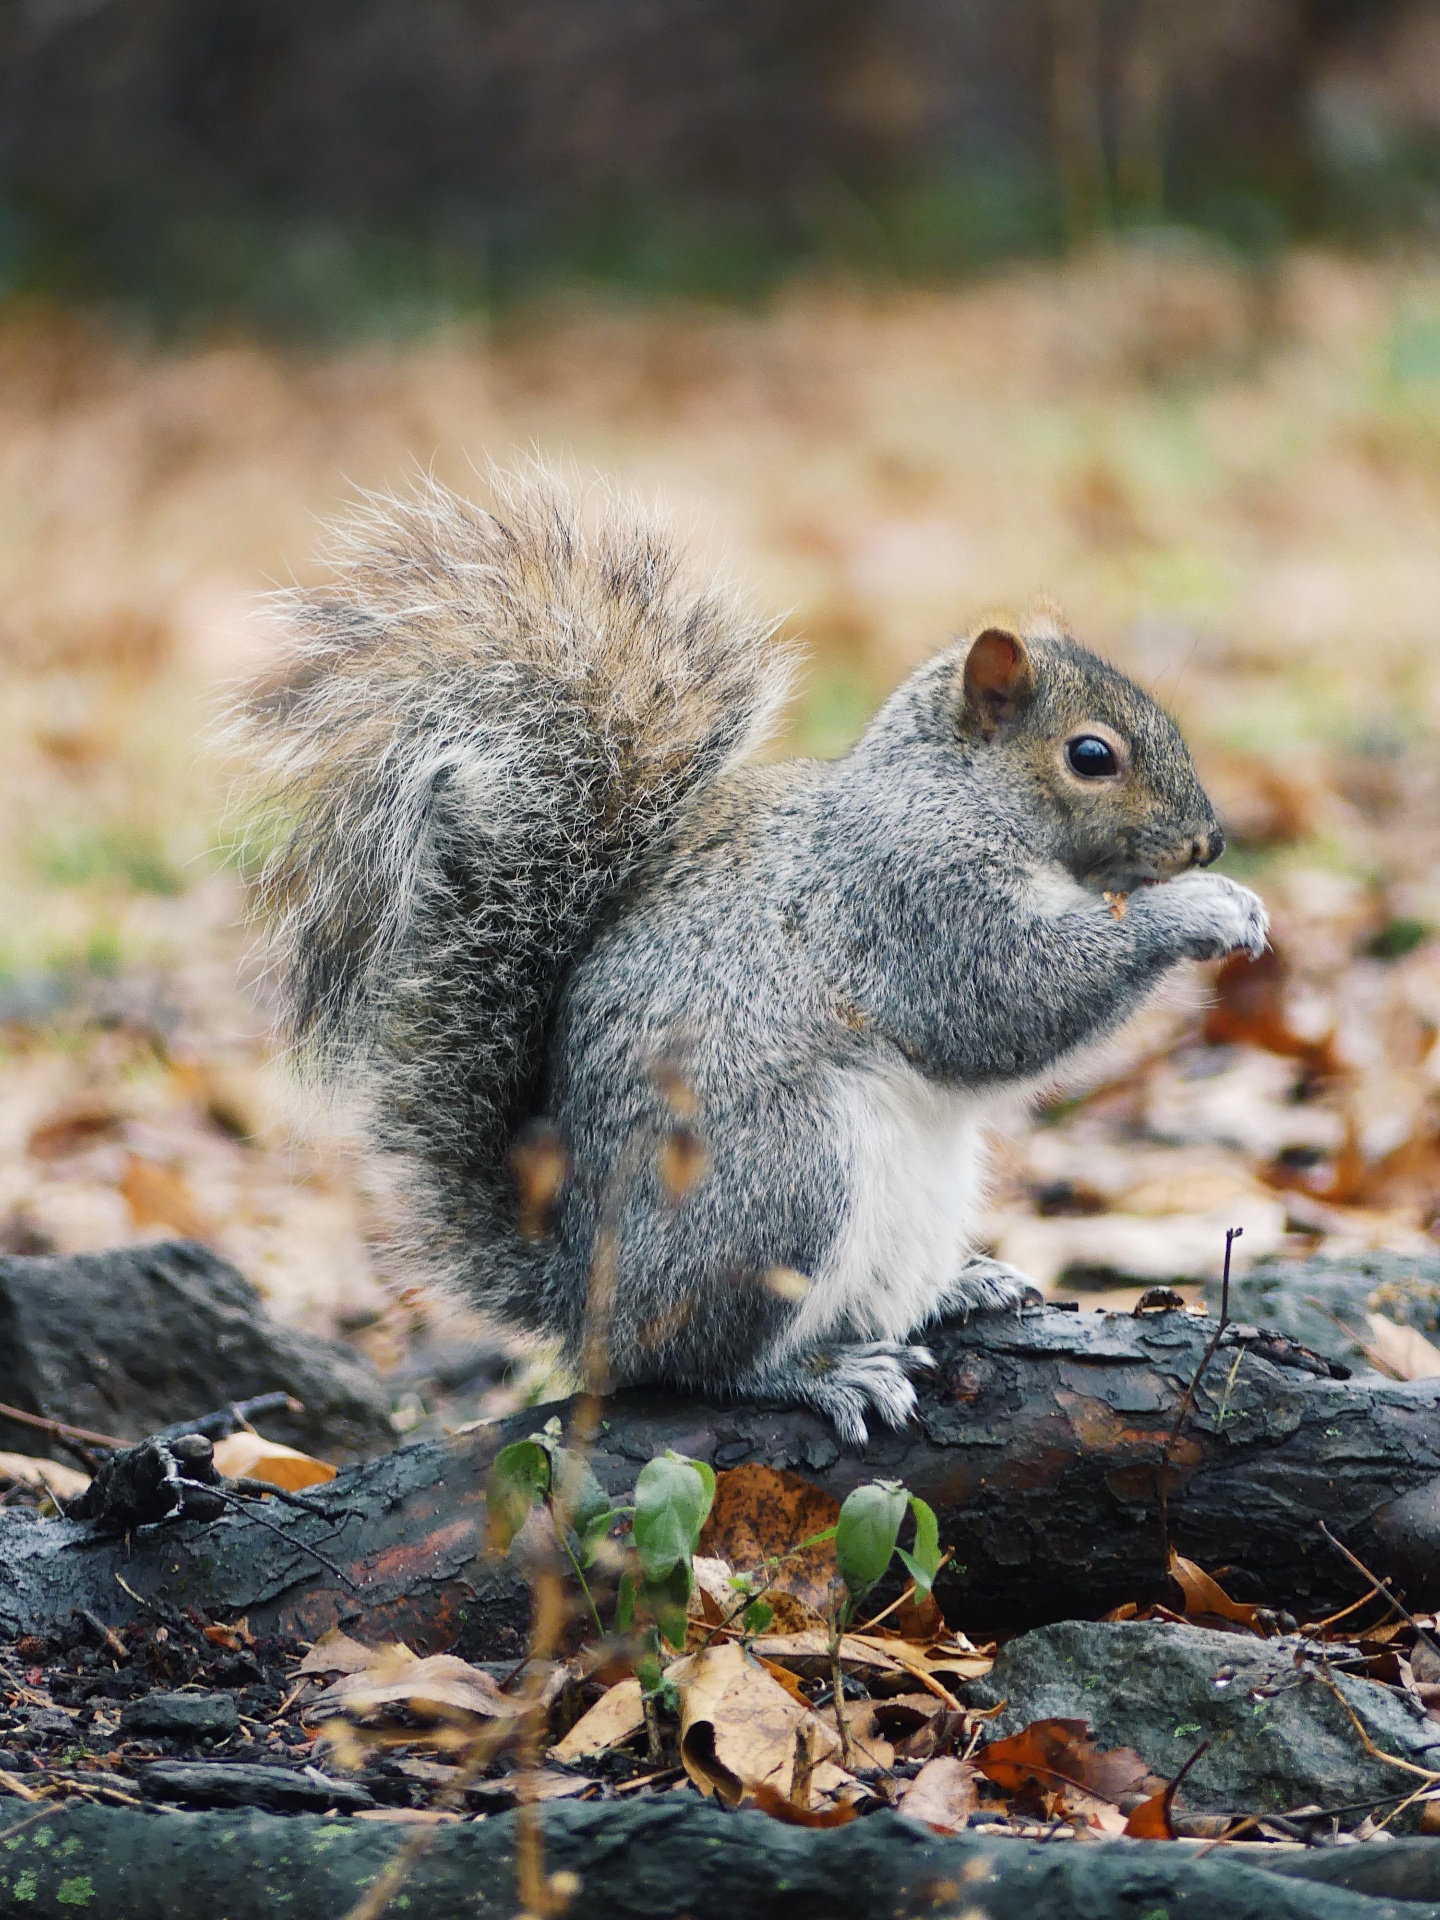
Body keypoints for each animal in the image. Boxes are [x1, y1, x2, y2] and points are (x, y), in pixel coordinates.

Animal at [243, 464, 1268, 1446]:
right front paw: (1196, 909)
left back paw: (956, 1288)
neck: (955, 797)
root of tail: (585, 1302)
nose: (1208, 842)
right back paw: (817, 1375)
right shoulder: (908, 900)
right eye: (1092, 756)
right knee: (701, 1363)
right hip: (784, 1177)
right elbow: (1003, 1000)